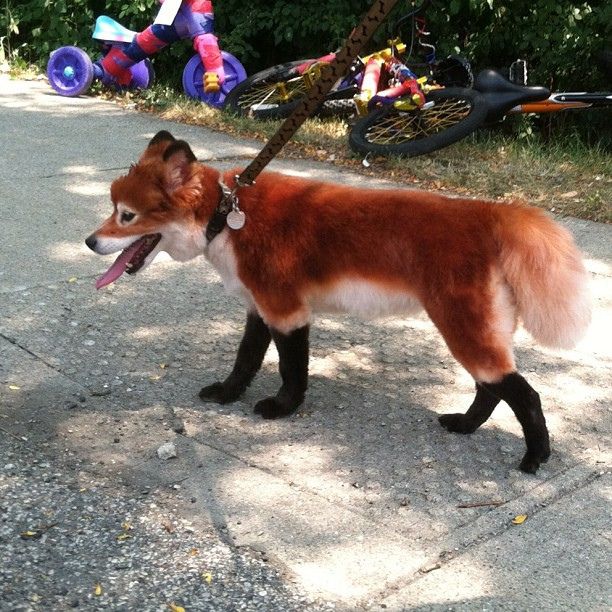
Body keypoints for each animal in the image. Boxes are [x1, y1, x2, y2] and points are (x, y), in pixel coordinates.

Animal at [83, 130, 592, 474]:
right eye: (113, 210)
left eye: (126, 216)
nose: (89, 242)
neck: (227, 217)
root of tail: (489, 213)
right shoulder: (258, 309)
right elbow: (245, 361)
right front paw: (228, 395)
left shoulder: (286, 312)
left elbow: (292, 371)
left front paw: (281, 408)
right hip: (474, 329)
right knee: (491, 387)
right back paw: (465, 426)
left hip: (464, 329)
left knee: (522, 393)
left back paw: (535, 457)